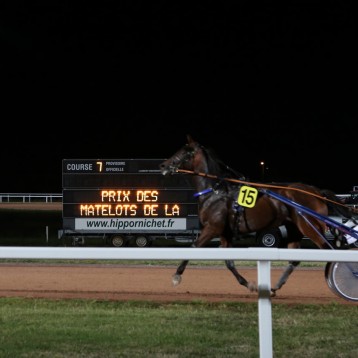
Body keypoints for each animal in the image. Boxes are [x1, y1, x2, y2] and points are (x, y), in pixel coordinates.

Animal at [159, 134, 356, 296]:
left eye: (185, 152)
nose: (163, 165)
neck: (215, 192)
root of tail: (316, 191)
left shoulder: (212, 227)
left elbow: (193, 247)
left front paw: (176, 276)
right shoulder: (225, 232)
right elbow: (229, 262)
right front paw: (249, 284)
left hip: (310, 226)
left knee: (329, 252)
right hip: (295, 228)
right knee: (294, 259)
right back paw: (275, 287)